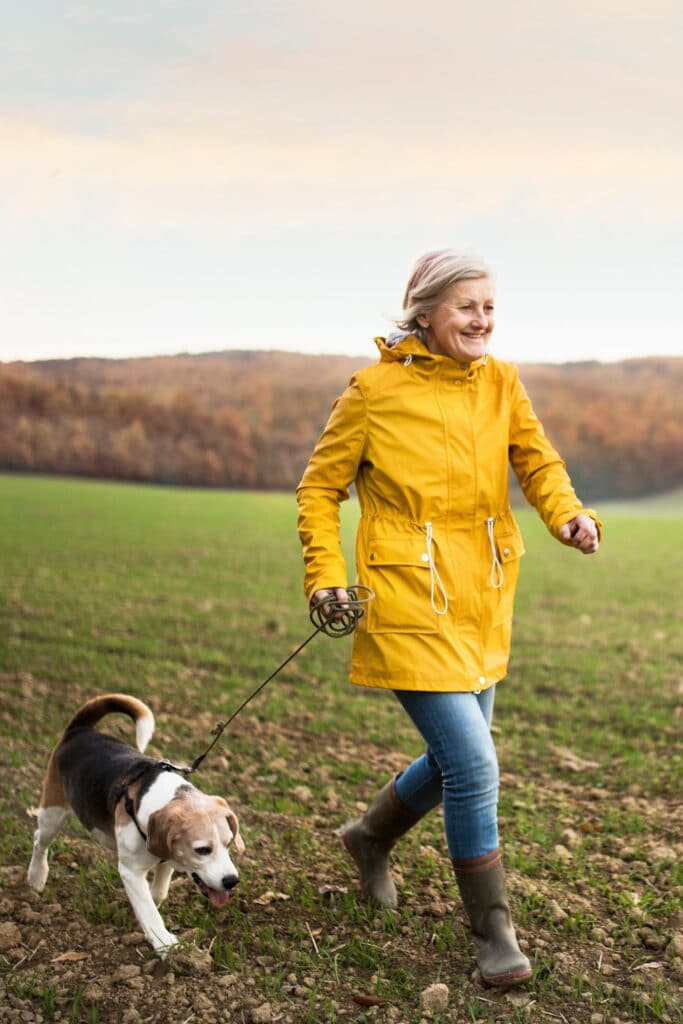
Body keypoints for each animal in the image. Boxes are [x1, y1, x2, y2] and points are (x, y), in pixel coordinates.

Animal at [27, 692, 245, 954]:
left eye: (229, 844)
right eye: (202, 850)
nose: (232, 881)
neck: (164, 798)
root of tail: (80, 730)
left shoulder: (167, 858)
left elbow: (157, 894)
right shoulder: (130, 871)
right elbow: (148, 909)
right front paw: (165, 944)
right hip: (54, 812)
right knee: (40, 840)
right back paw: (36, 877)